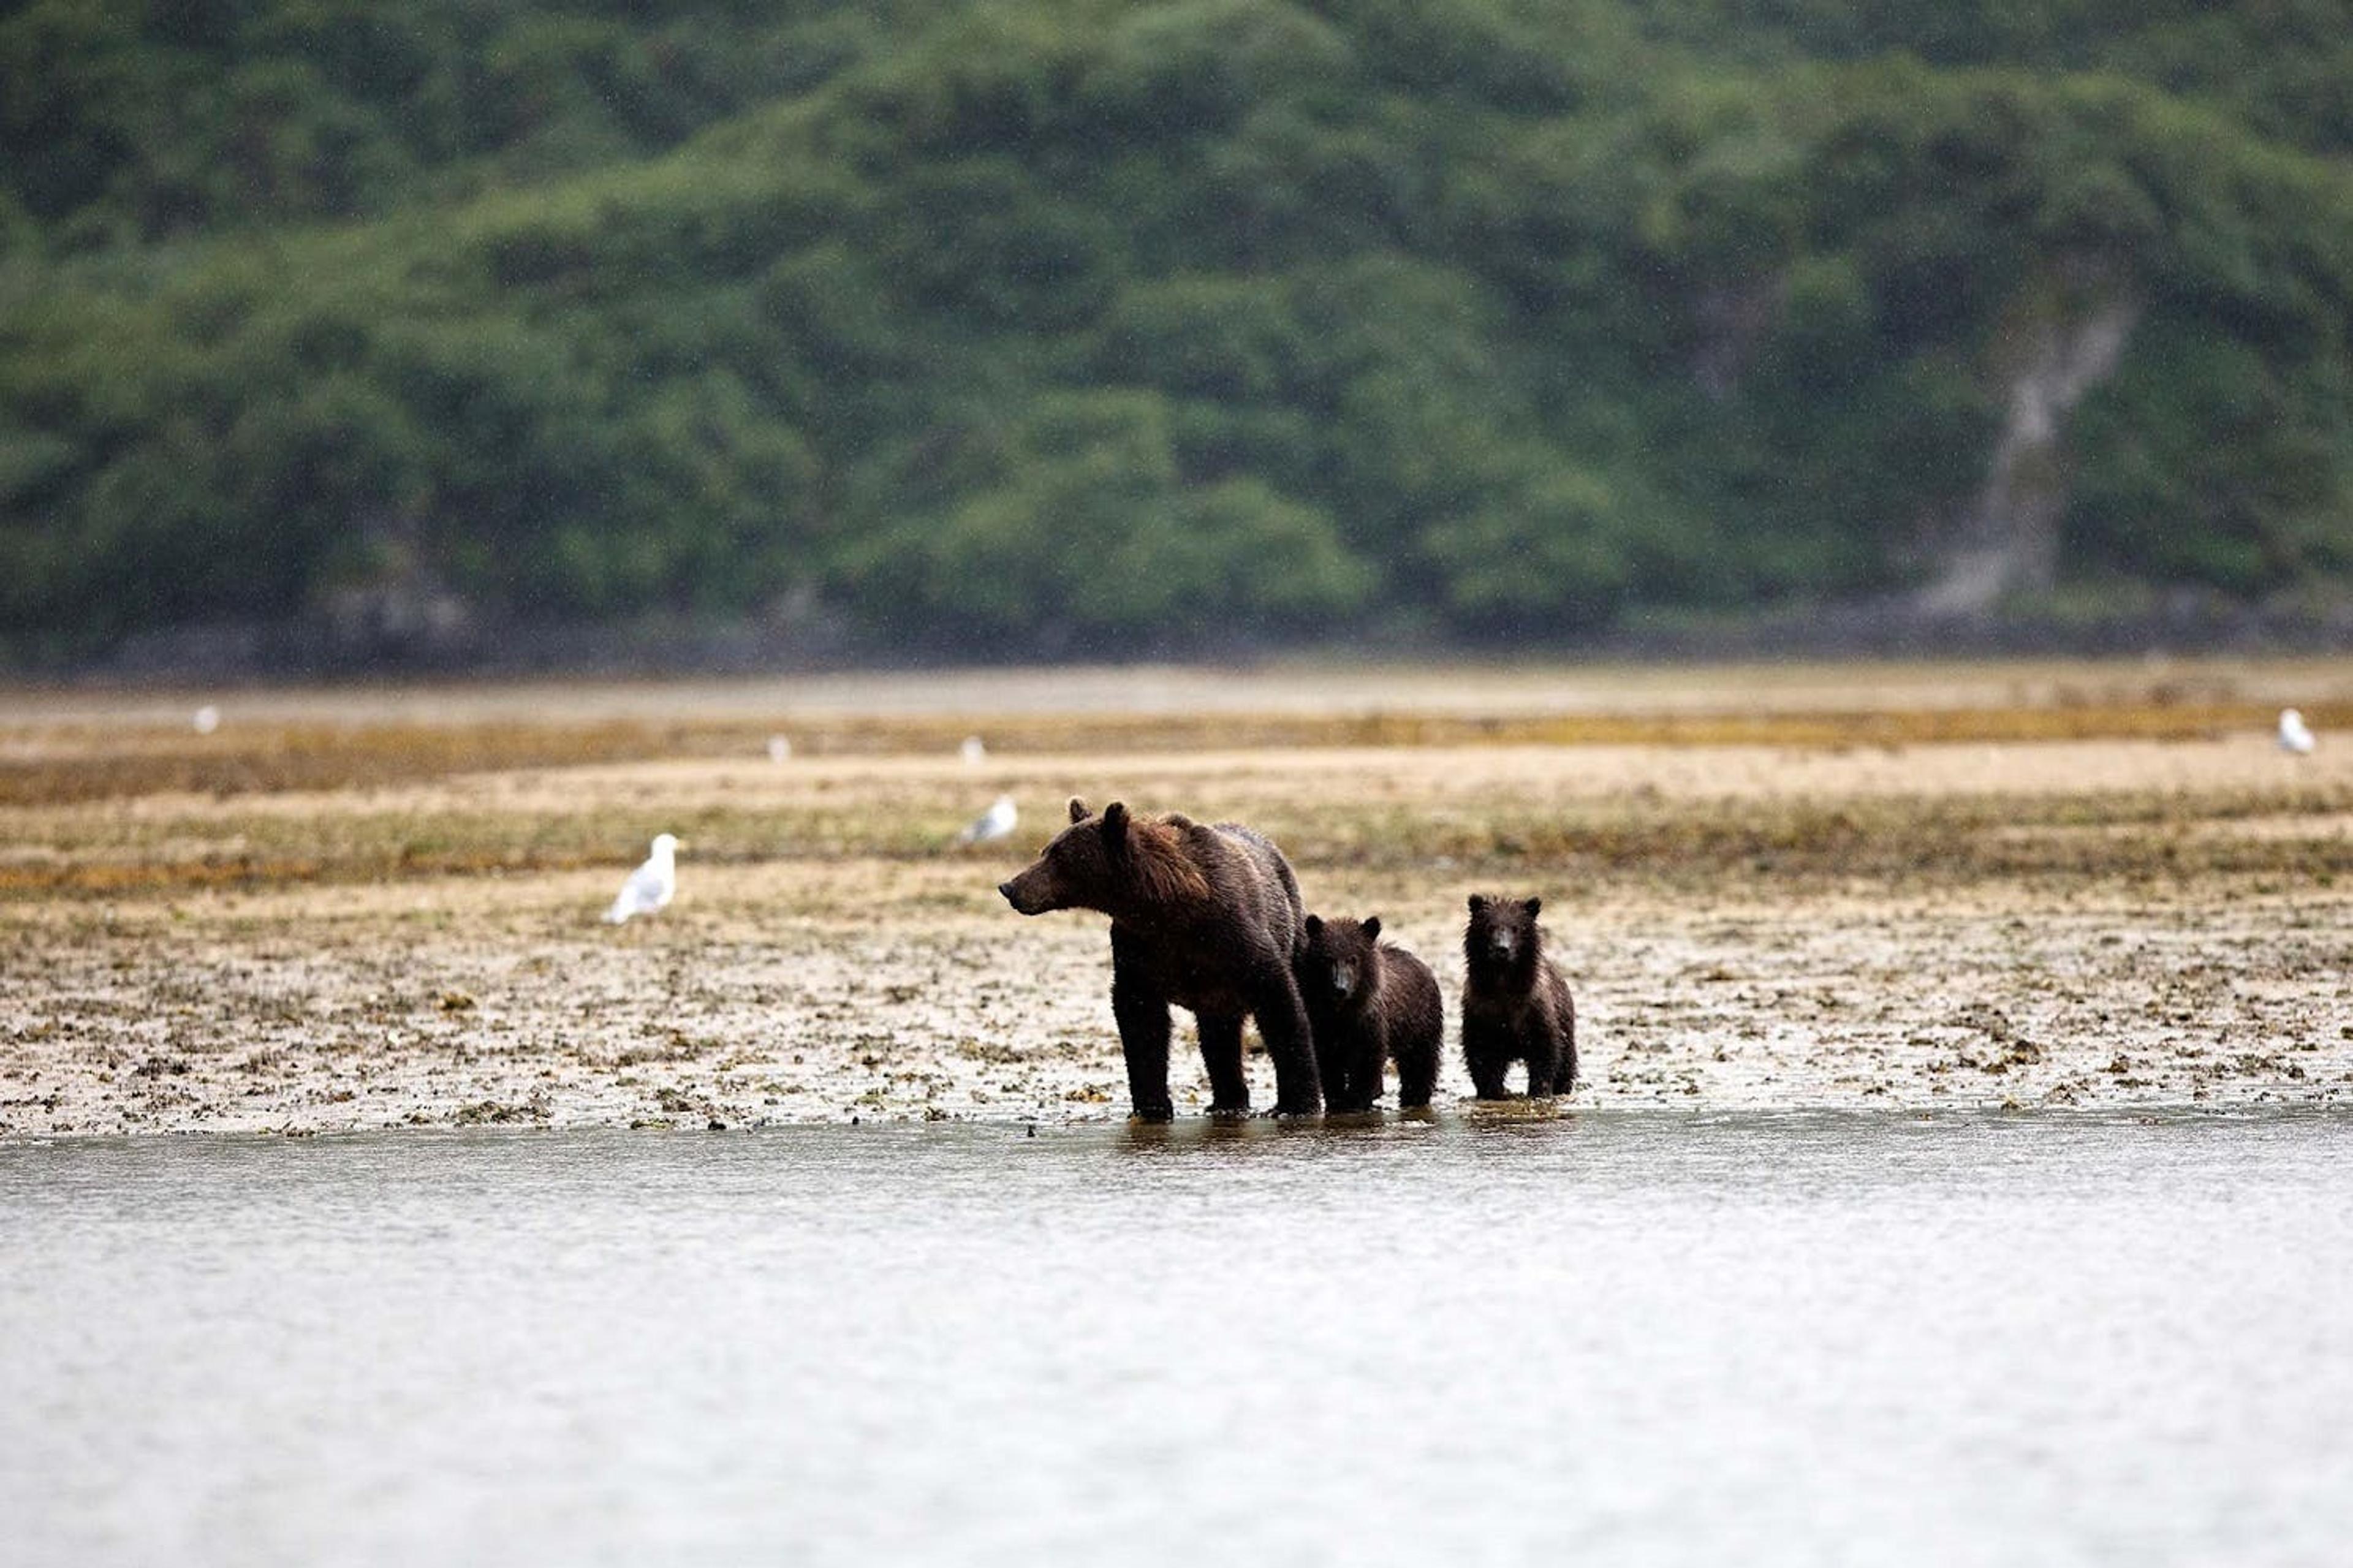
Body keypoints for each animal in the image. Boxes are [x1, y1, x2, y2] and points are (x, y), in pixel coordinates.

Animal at [999, 799, 1322, 1119]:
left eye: (1059, 856)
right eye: (1045, 851)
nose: (1010, 887)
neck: (1165, 909)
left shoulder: (1234, 937)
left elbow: (1279, 1002)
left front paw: (1296, 1104)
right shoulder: (1140, 950)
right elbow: (1141, 1022)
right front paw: (1152, 1105)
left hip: (1291, 925)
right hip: (1216, 994)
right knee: (1218, 1034)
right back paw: (1227, 1101)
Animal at [1296, 913, 1443, 1112]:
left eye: (1353, 959)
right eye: (1327, 959)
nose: (1340, 988)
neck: (1343, 1012)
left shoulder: (1369, 1023)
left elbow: (1366, 1062)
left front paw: (1355, 1102)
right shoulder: (1324, 1025)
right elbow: (1328, 1064)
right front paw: (1337, 1101)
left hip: (1420, 1021)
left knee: (1420, 1061)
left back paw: (1414, 1098)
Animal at [1460, 893, 1577, 1099]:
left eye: (1516, 928)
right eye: (1490, 927)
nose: (1502, 949)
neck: (1503, 982)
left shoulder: (1534, 1009)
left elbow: (1545, 1051)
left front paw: (1539, 1090)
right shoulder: (1481, 1011)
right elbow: (1481, 1054)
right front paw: (1493, 1091)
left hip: (1566, 1021)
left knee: (1566, 1060)